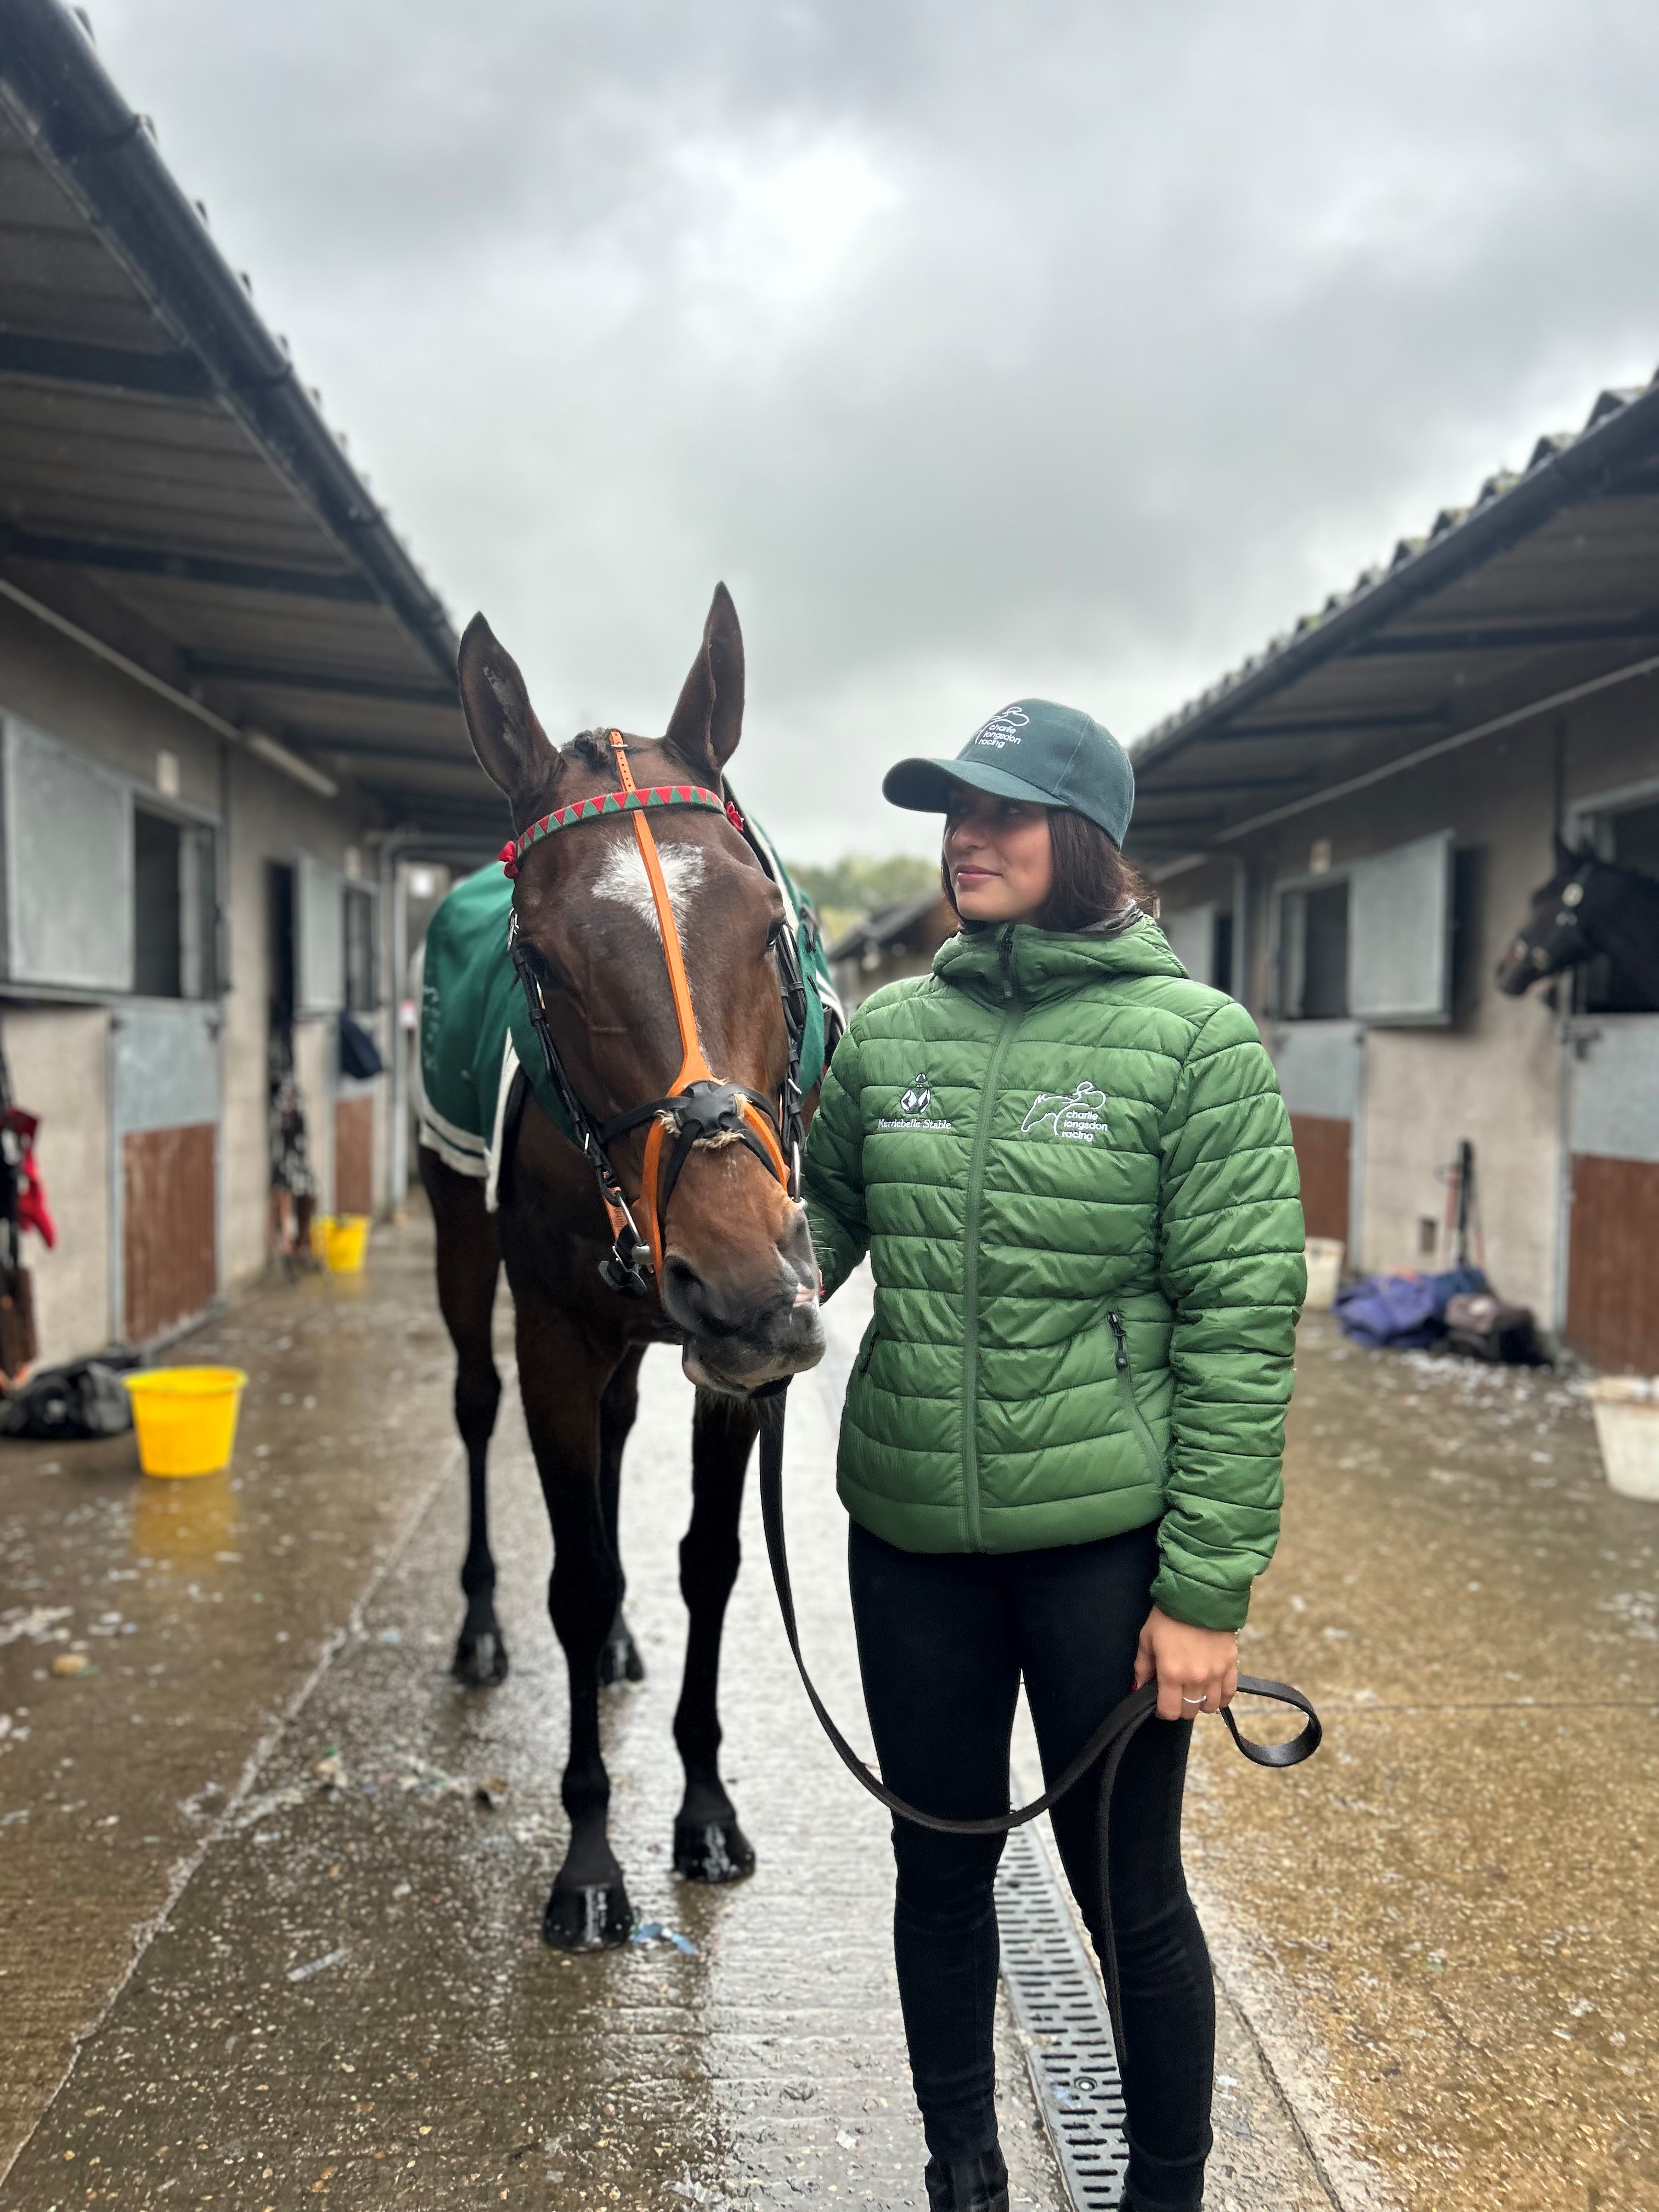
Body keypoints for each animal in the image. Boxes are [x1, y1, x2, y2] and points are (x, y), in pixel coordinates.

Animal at [418, 588, 827, 1955]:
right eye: (542, 964)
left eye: (772, 928)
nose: (747, 1279)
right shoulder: (555, 1332)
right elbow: (579, 1575)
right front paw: (591, 1861)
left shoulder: (734, 1367)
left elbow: (711, 1562)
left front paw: (703, 1807)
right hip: (459, 1237)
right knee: (476, 1407)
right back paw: (481, 1626)